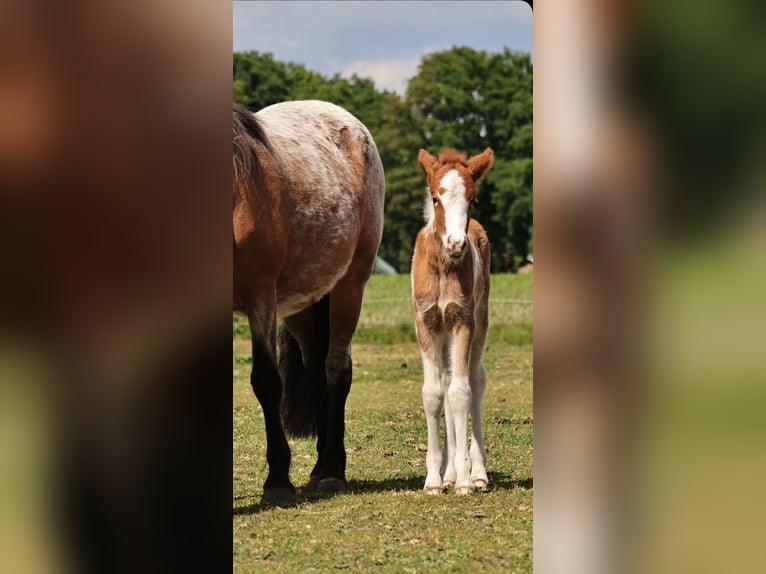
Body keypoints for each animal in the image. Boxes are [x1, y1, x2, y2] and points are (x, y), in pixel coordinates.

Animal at [233, 100, 385, 506]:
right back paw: (319, 468)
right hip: (302, 306)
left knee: (336, 369)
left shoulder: (260, 297)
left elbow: (266, 381)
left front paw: (277, 483)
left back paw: (332, 470)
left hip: (349, 286)